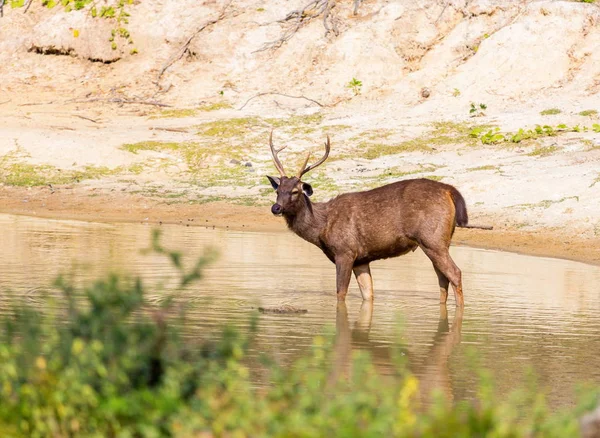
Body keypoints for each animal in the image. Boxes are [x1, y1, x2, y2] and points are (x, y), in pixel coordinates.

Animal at [266, 132, 468, 306]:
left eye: (295, 191)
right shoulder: (361, 259)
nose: (276, 208)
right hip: (440, 240)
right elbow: (368, 294)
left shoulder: (345, 251)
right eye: (278, 190)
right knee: (443, 278)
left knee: (455, 273)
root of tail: (449, 190)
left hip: (431, 238)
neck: (322, 227)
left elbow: (340, 293)